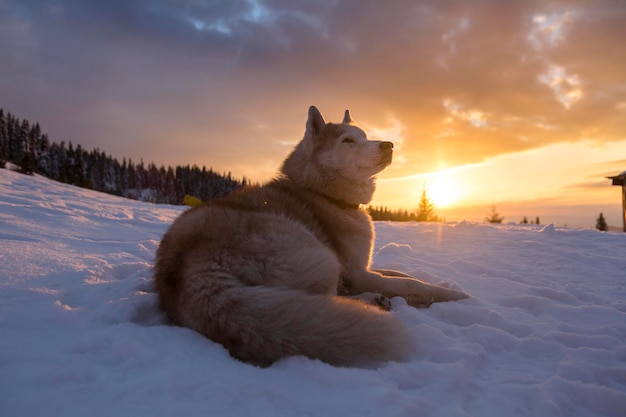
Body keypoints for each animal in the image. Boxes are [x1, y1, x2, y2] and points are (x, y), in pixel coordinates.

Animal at [154, 105, 466, 366]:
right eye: (348, 141)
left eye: (365, 136)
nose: (388, 144)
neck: (326, 195)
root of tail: (190, 269)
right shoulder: (357, 273)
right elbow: (411, 284)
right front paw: (454, 295)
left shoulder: (363, 266)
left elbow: (400, 274)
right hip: (322, 258)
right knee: (329, 299)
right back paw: (371, 302)